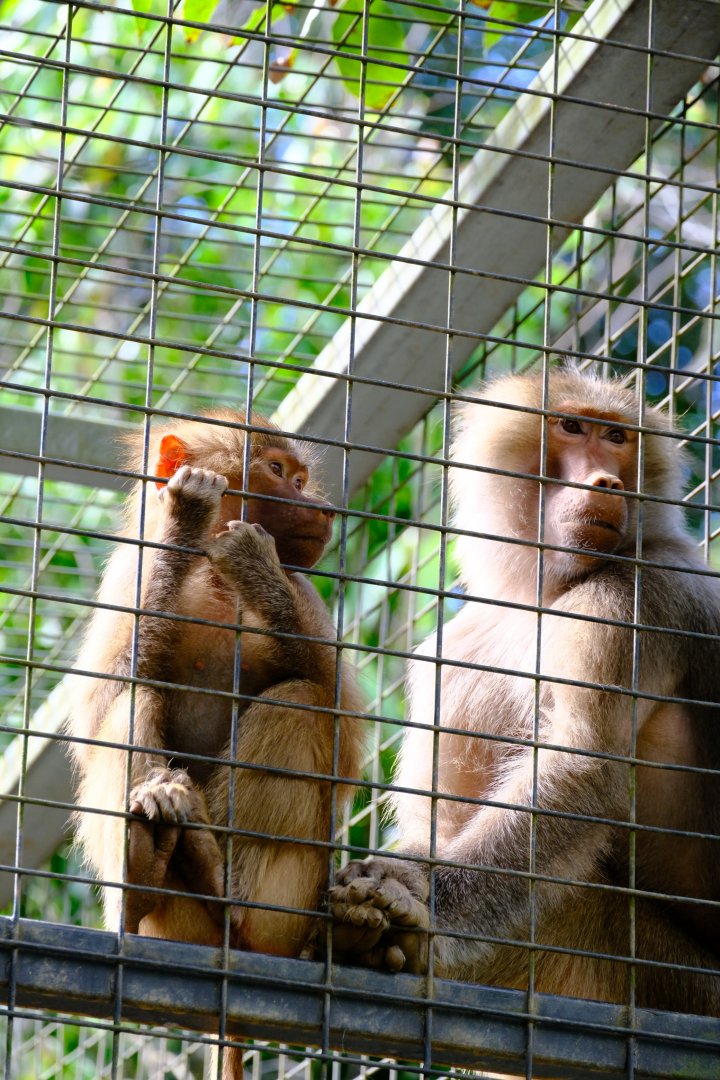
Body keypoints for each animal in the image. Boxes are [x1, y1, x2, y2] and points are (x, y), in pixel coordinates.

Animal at [66, 408, 364, 976]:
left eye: (300, 479)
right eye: (278, 471)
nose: (323, 508)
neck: (212, 576)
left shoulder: (302, 589)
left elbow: (345, 729)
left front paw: (255, 569)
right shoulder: (131, 573)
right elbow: (100, 705)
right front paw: (186, 520)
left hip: (290, 908)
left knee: (300, 703)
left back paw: (225, 889)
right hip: (170, 919)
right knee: (136, 698)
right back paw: (142, 870)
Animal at [330, 366, 720, 1018]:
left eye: (617, 436)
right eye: (571, 426)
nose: (607, 481)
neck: (544, 590)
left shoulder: (640, 594)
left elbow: (580, 766)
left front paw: (416, 895)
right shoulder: (456, 652)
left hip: (675, 979)